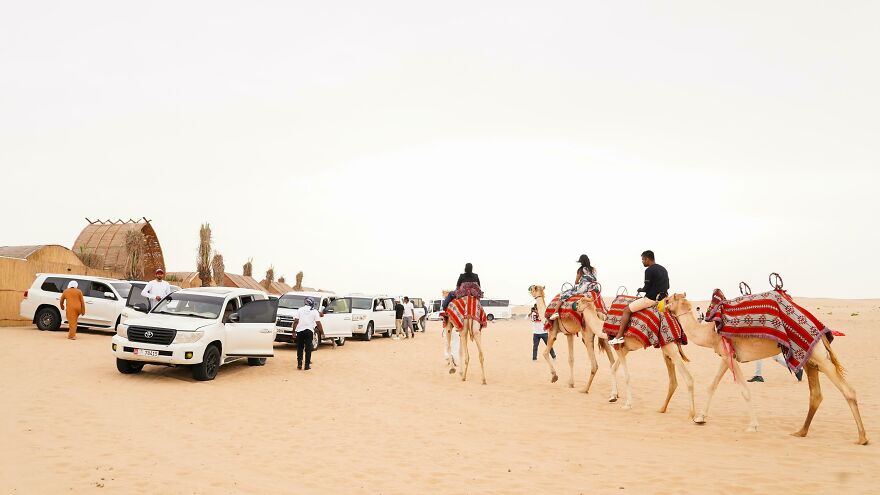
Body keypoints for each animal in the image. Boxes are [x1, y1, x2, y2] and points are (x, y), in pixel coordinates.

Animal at [668, 292, 868, 444]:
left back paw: (862, 438)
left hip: (818, 355)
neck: (709, 333)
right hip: (810, 358)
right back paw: (801, 432)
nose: (662, 303)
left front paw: (753, 426)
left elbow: (744, 390)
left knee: (847, 390)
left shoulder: (728, 355)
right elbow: (712, 385)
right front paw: (700, 418)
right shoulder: (726, 357)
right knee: (816, 395)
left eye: (669, 299)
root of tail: (820, 329)